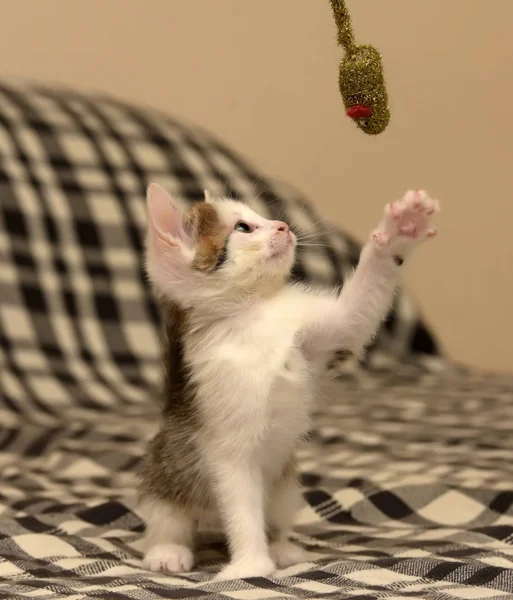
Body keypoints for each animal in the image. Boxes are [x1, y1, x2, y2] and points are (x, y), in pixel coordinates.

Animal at [136, 184, 436, 580]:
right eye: (243, 227)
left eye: (260, 217)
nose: (283, 226)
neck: (252, 312)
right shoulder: (224, 437)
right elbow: (240, 498)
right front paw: (249, 565)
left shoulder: (316, 338)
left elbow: (354, 315)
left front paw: (402, 229)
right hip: (166, 464)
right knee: (170, 515)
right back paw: (167, 551)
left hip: (285, 486)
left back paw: (280, 547)